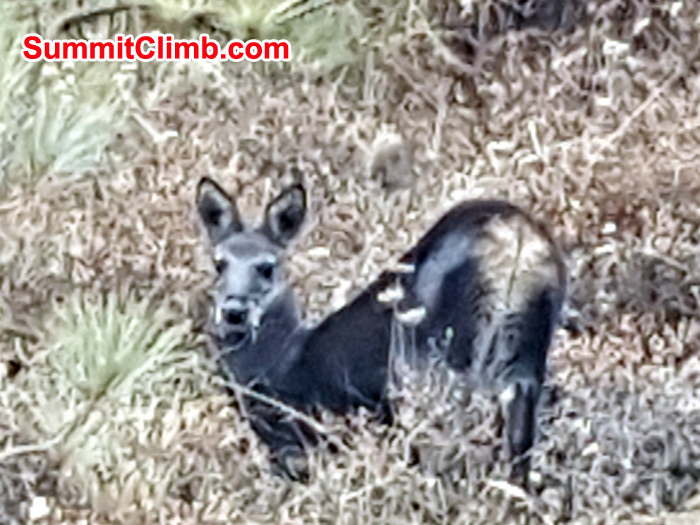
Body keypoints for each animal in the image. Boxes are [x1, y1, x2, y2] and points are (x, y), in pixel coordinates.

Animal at [195, 176, 567, 487]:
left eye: (267, 267)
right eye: (219, 263)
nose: (233, 311)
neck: (286, 364)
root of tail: (519, 237)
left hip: (443, 360)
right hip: (526, 353)